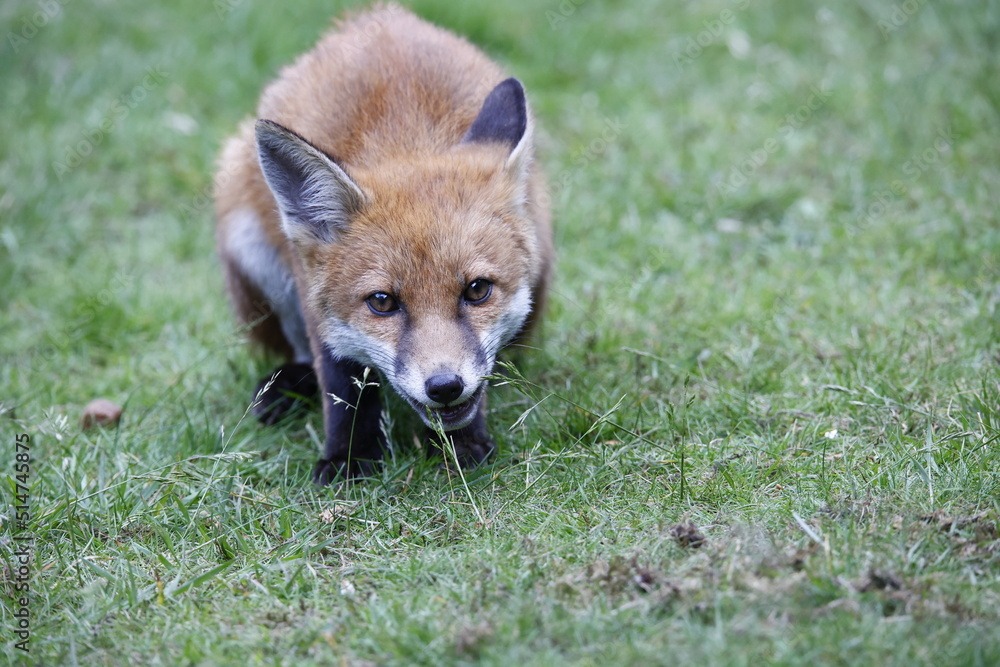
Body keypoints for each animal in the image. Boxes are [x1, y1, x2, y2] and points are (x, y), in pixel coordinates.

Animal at [213, 4, 553, 485]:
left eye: (477, 290)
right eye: (382, 302)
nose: (445, 386)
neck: (404, 136)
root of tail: (377, 15)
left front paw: (461, 446)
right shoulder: (315, 300)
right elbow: (342, 384)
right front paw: (350, 456)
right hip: (244, 237)